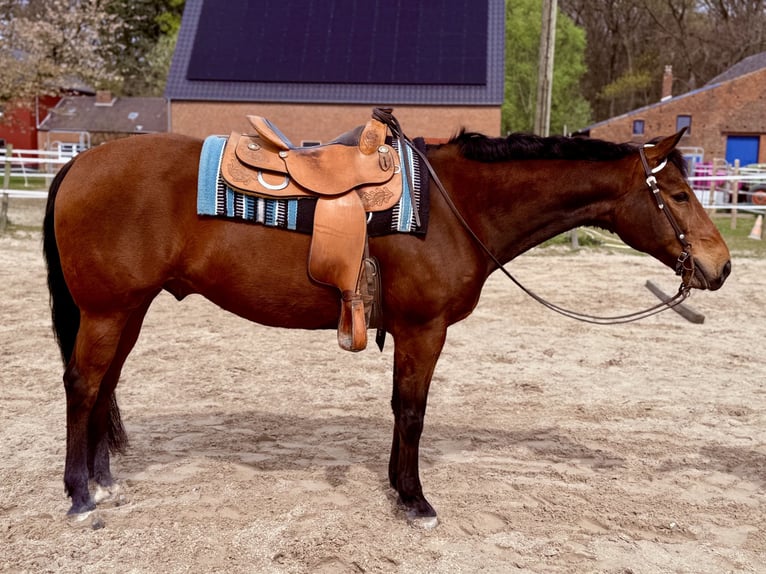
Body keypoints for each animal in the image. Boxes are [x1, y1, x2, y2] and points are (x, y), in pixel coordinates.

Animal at [42, 125, 731, 526]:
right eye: (678, 194)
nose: (720, 265)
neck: (454, 206)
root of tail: (79, 164)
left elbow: (403, 410)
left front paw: (401, 489)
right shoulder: (424, 330)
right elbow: (412, 411)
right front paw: (415, 500)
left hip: (128, 310)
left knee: (105, 386)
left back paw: (104, 481)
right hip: (108, 310)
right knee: (83, 386)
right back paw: (79, 495)